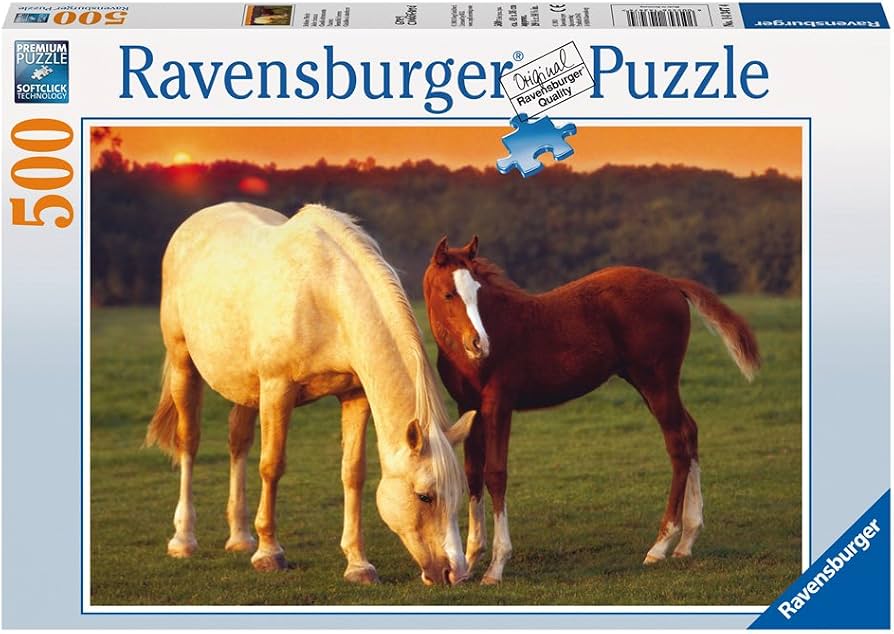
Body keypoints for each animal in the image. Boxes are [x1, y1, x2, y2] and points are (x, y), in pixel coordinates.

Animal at [146, 202, 475, 585]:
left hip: (246, 387)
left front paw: (358, 564)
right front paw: (269, 554)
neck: (325, 295)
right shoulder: (277, 388)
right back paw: (184, 539)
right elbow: (272, 466)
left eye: (460, 493)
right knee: (189, 442)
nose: (456, 573)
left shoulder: (354, 395)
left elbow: (353, 472)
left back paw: (240, 537)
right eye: (424, 496)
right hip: (184, 363)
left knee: (238, 442)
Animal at [423, 235, 760, 584]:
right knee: (689, 431)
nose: (480, 344)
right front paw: (469, 562)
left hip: (656, 380)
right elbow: (473, 474)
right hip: (649, 382)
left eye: (478, 292)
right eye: (449, 294)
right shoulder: (469, 407)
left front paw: (496, 566)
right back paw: (687, 541)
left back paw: (661, 546)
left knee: (678, 441)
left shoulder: (499, 405)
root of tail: (671, 283)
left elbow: (496, 474)